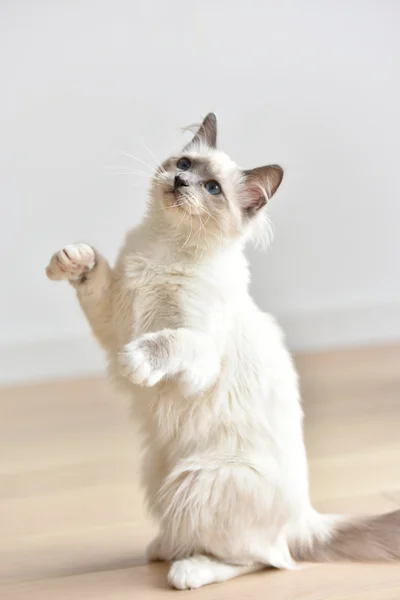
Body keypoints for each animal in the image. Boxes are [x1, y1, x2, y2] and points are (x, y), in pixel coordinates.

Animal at [45, 113, 398, 592]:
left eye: (212, 188)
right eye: (184, 164)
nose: (179, 181)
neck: (165, 249)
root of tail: (305, 518)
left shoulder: (196, 353)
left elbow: (170, 341)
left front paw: (136, 362)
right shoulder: (114, 321)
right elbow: (93, 276)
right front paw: (71, 259)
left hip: (198, 481)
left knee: (263, 560)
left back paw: (187, 569)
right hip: (159, 473)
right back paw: (163, 547)